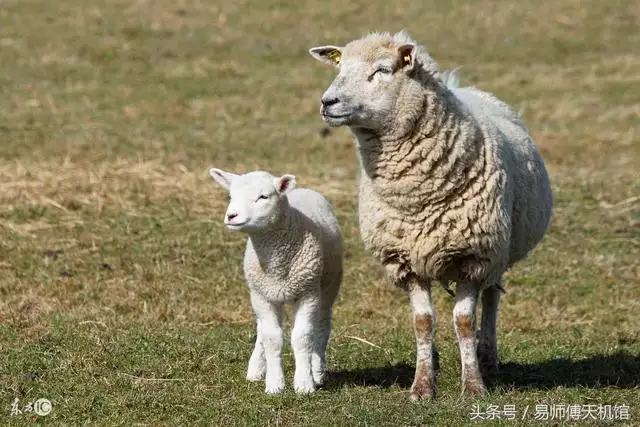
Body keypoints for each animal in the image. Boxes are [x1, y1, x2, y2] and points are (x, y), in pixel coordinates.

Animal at [209, 168, 340, 394]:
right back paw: (256, 369)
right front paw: (274, 384)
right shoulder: (262, 296)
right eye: (231, 196)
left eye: (263, 197)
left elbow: (302, 337)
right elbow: (271, 338)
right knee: (262, 331)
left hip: (328, 286)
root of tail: (304, 189)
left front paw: (304, 383)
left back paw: (317, 371)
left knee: (322, 326)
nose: (231, 216)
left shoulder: (308, 292)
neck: (278, 267)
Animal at [308, 30, 552, 402]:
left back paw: (487, 356)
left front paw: (473, 385)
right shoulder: (404, 259)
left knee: (492, 298)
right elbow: (422, 322)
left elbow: (464, 322)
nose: (327, 102)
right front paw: (422, 385)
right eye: (340, 67)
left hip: (498, 251)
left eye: (383, 70)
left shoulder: (474, 257)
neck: (418, 195)